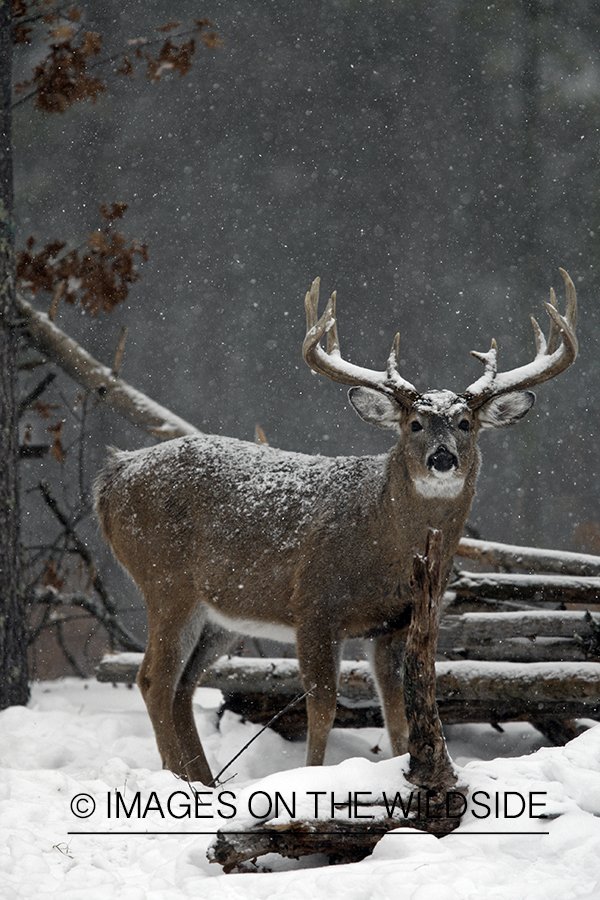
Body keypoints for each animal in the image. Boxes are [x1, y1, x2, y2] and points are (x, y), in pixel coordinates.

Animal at [95, 268, 576, 788]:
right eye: (414, 423)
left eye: (466, 422)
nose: (442, 458)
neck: (379, 543)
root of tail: (114, 475)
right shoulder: (314, 604)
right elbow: (323, 706)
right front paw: (312, 777)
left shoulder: (395, 623)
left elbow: (398, 711)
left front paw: (406, 770)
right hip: (166, 582)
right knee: (154, 679)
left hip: (219, 612)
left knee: (183, 685)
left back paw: (203, 780)